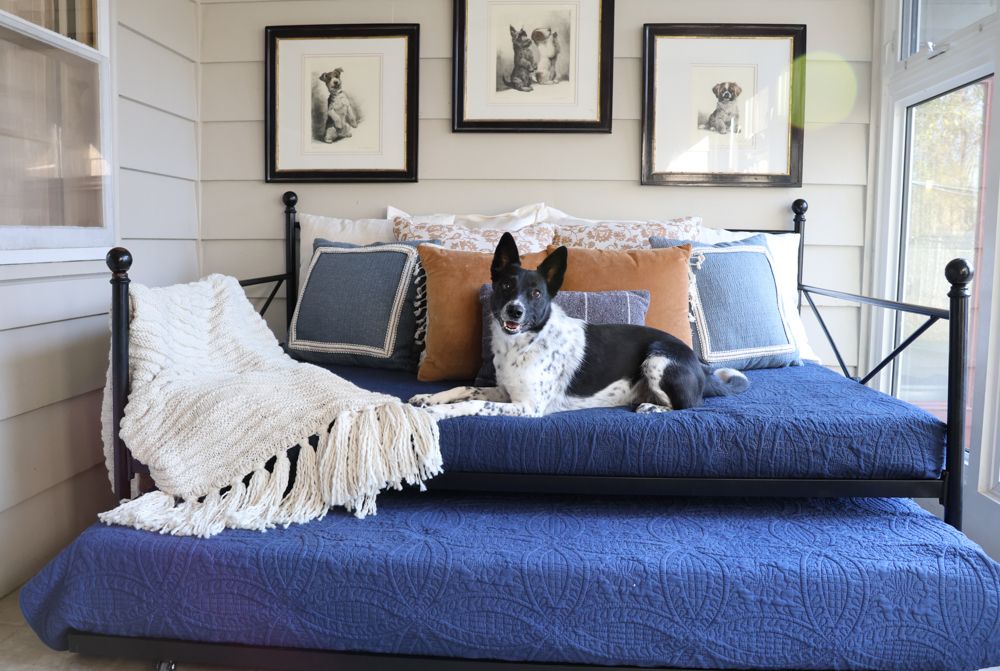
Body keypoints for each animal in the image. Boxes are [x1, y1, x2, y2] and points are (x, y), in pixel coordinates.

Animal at [408, 234, 749, 419]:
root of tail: (700, 368)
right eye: (505, 285)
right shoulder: (506, 392)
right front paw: (429, 398)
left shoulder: (528, 407)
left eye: (536, 293)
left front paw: (438, 411)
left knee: (688, 405)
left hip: (658, 359)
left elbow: (473, 403)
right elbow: (465, 388)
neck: (526, 343)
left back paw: (654, 409)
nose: (515, 311)